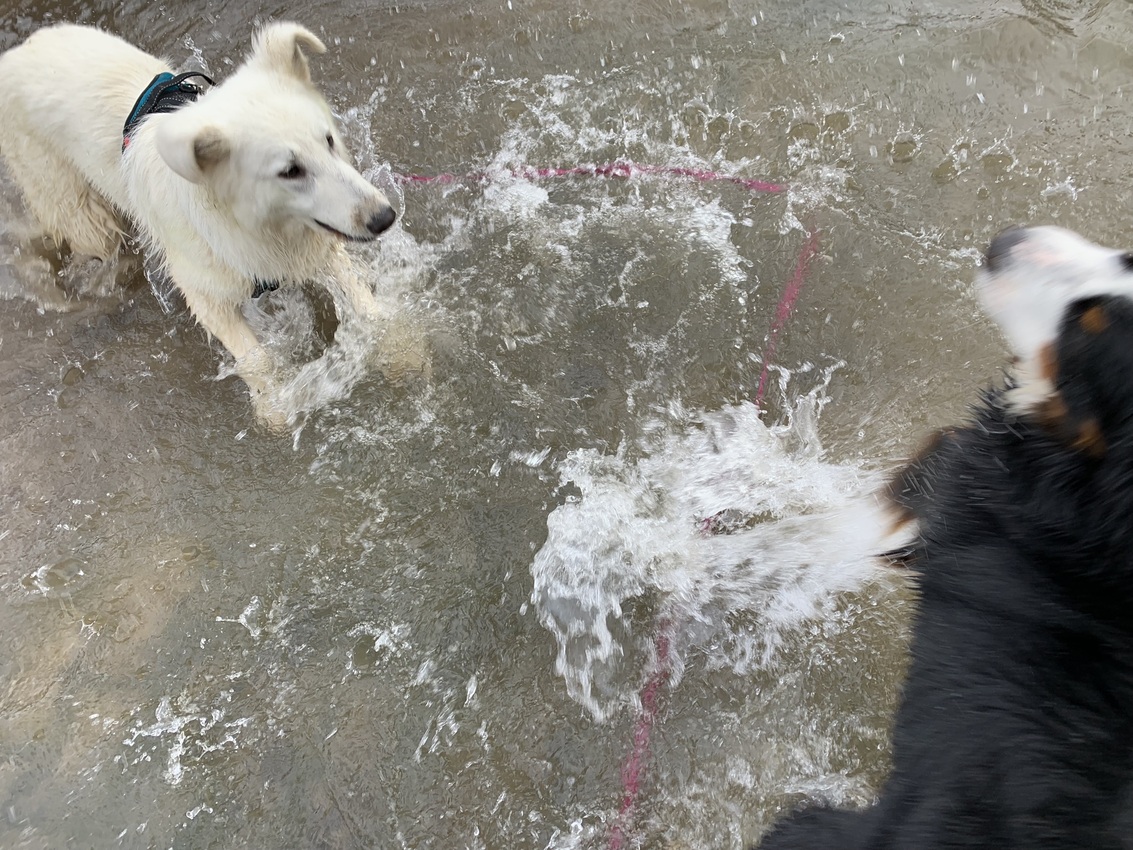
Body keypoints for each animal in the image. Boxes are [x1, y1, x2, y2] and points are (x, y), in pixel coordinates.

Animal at [0, 24, 398, 423]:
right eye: (290, 170)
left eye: (328, 140)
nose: (384, 218)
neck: (250, 223)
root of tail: (18, 52)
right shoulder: (206, 295)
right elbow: (256, 358)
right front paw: (274, 408)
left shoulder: (316, 248)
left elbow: (366, 306)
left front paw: (400, 348)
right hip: (79, 210)